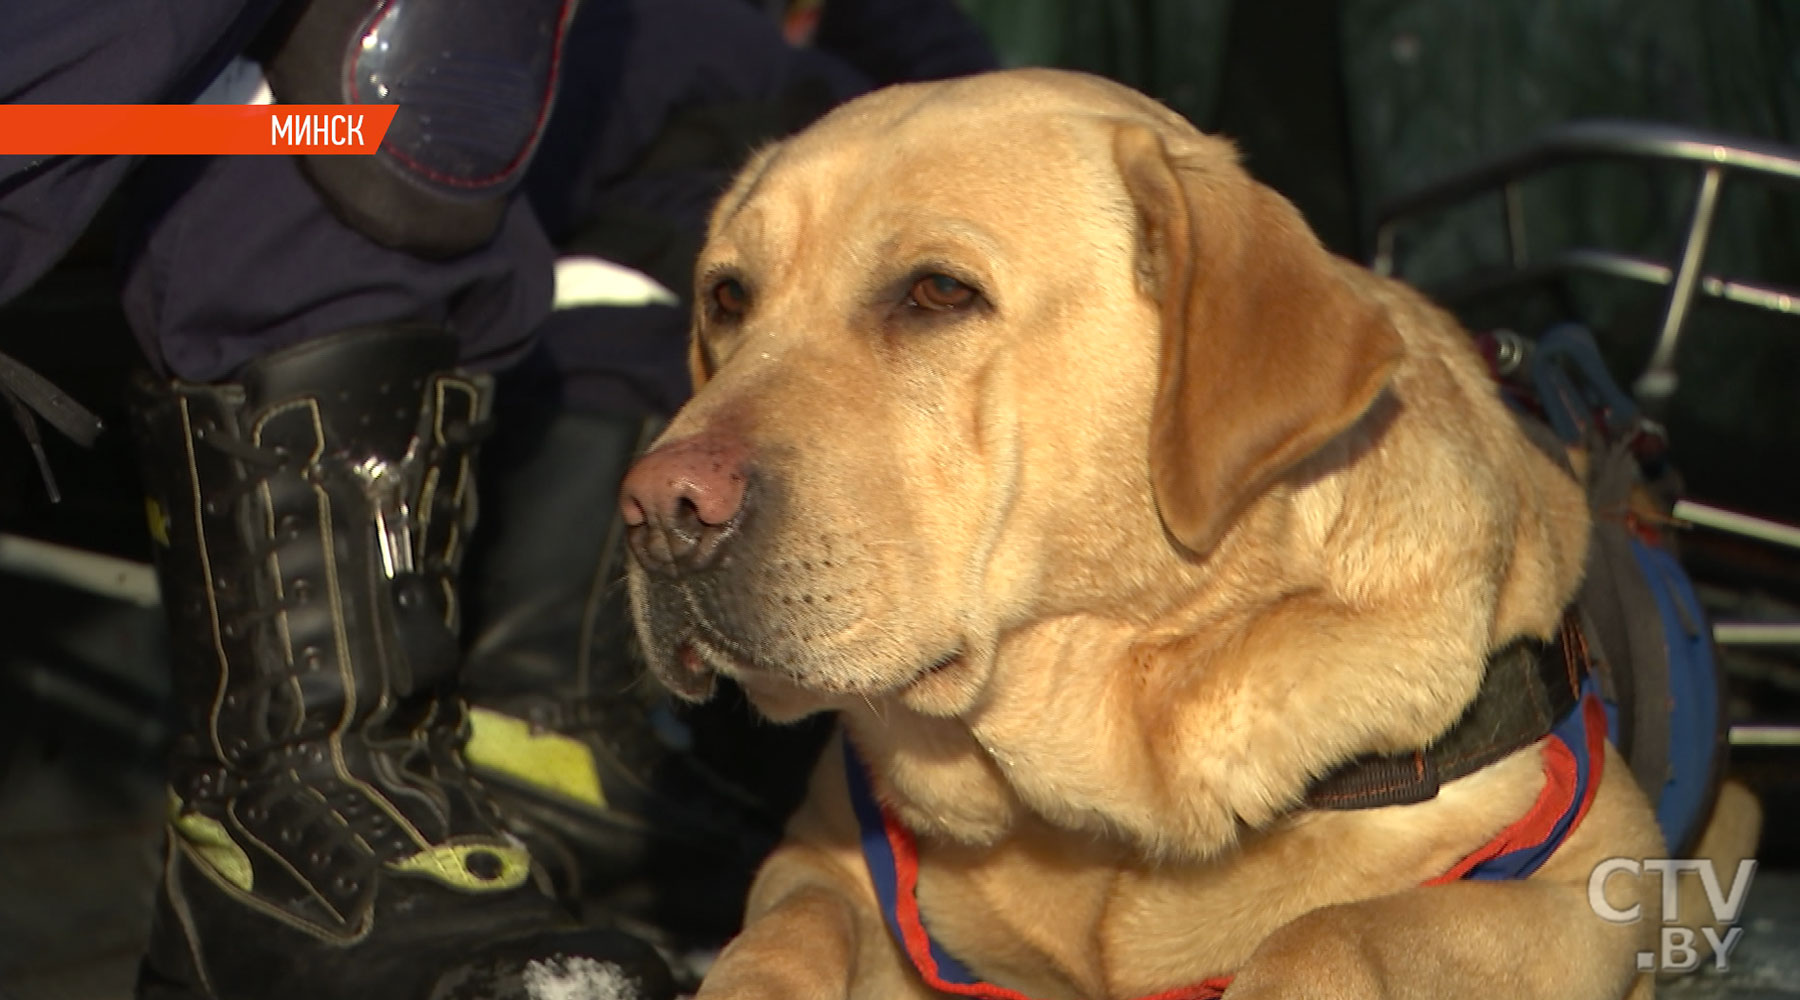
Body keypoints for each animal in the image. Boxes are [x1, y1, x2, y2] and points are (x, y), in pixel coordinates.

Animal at [615, 66, 1756, 992]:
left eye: (937, 291)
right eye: (727, 298)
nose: (657, 510)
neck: (1094, 822)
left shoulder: (1583, 886)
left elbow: (1333, 933)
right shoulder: (820, 858)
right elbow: (783, 935)